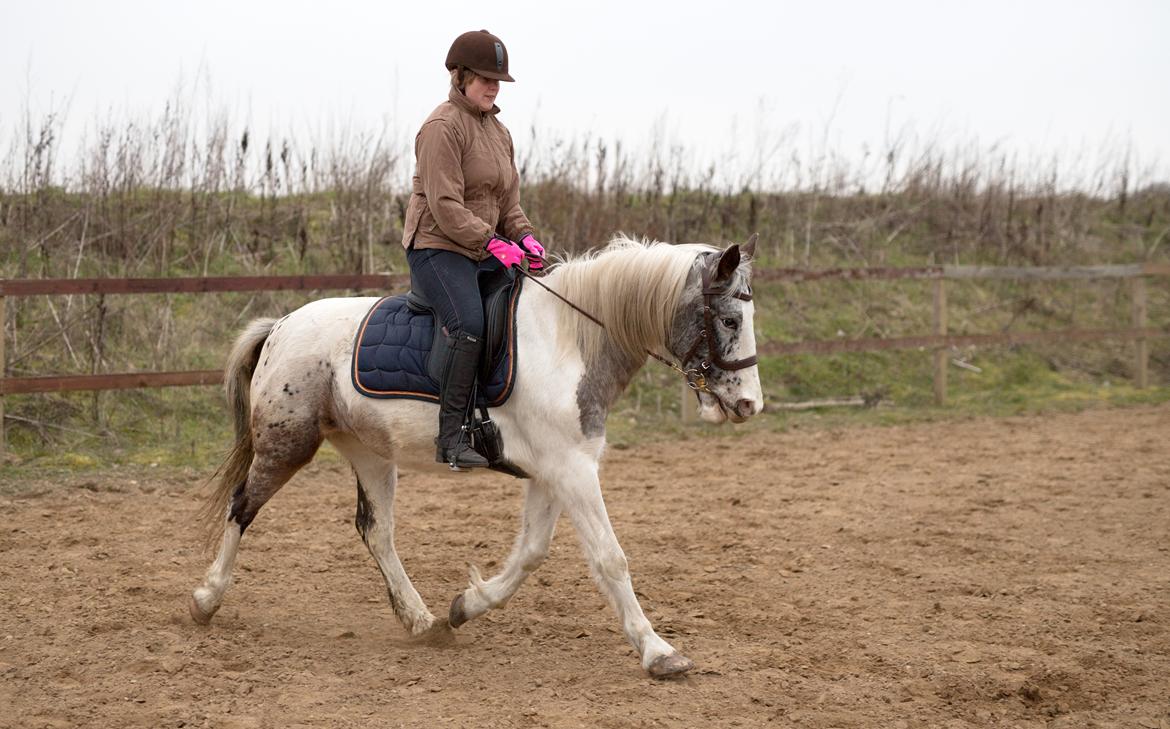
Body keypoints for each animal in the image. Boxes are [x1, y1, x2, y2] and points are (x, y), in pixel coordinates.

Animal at [187, 235, 762, 678]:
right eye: (731, 320)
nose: (750, 405)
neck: (570, 341)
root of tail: (282, 325)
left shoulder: (554, 471)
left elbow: (531, 552)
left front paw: (467, 606)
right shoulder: (572, 470)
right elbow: (610, 558)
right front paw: (659, 652)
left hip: (371, 452)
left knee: (377, 531)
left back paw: (422, 621)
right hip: (288, 443)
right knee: (242, 506)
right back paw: (206, 599)